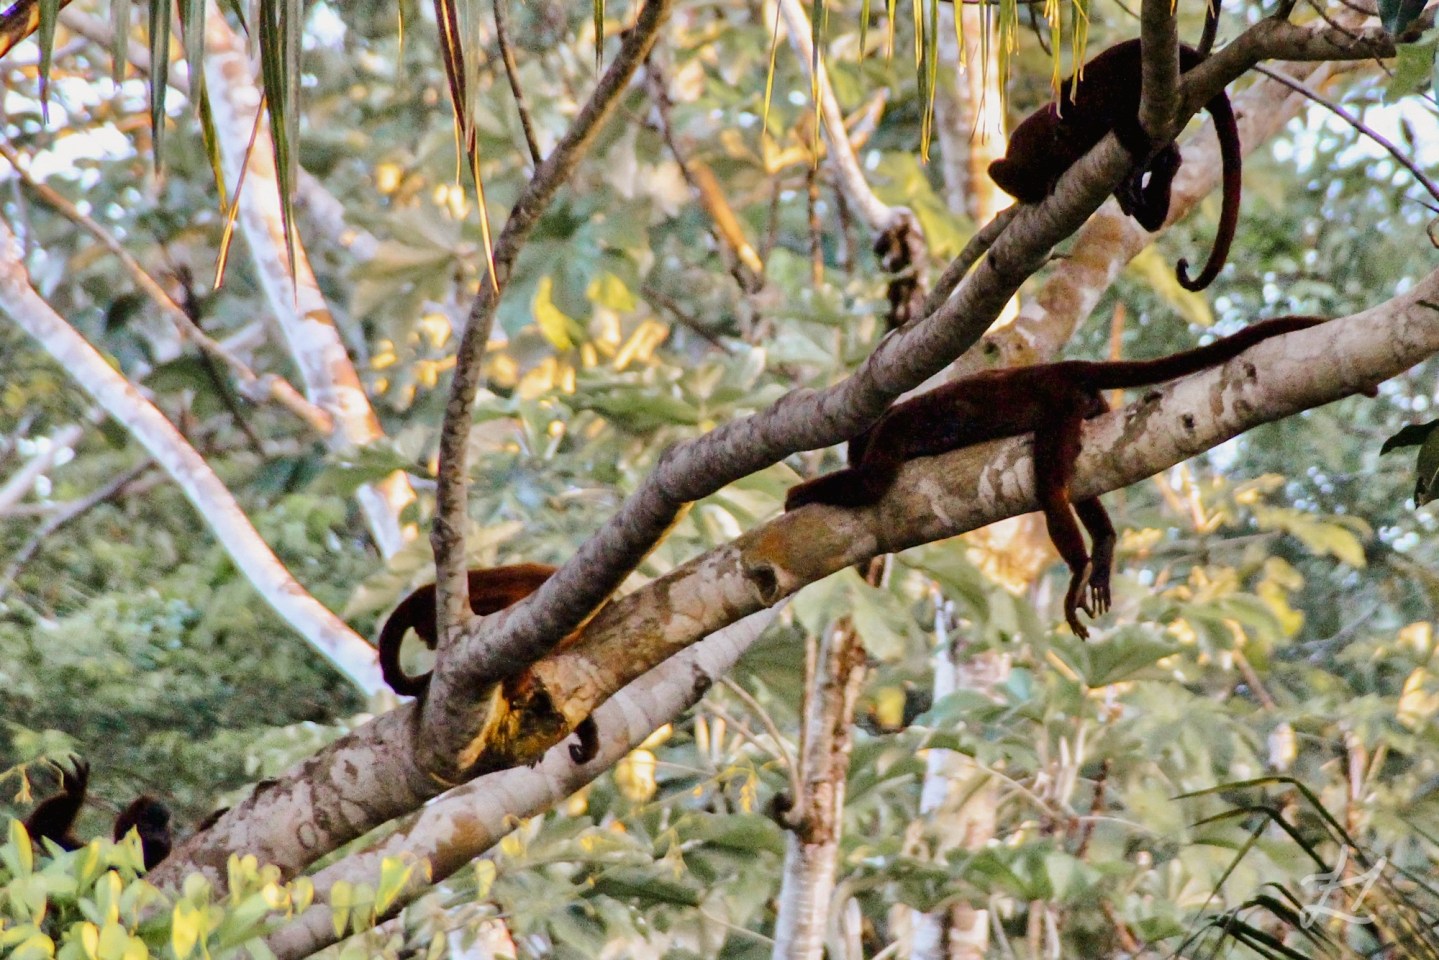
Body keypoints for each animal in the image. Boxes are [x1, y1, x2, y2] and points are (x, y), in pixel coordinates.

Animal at [784, 315, 1335, 638]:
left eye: (856, 447)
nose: (850, 450)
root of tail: (1062, 368)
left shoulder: (892, 432)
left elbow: (871, 484)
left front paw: (795, 494)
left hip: (1059, 405)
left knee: (1050, 487)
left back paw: (1080, 568)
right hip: (1086, 409)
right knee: (1079, 478)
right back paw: (1105, 545)